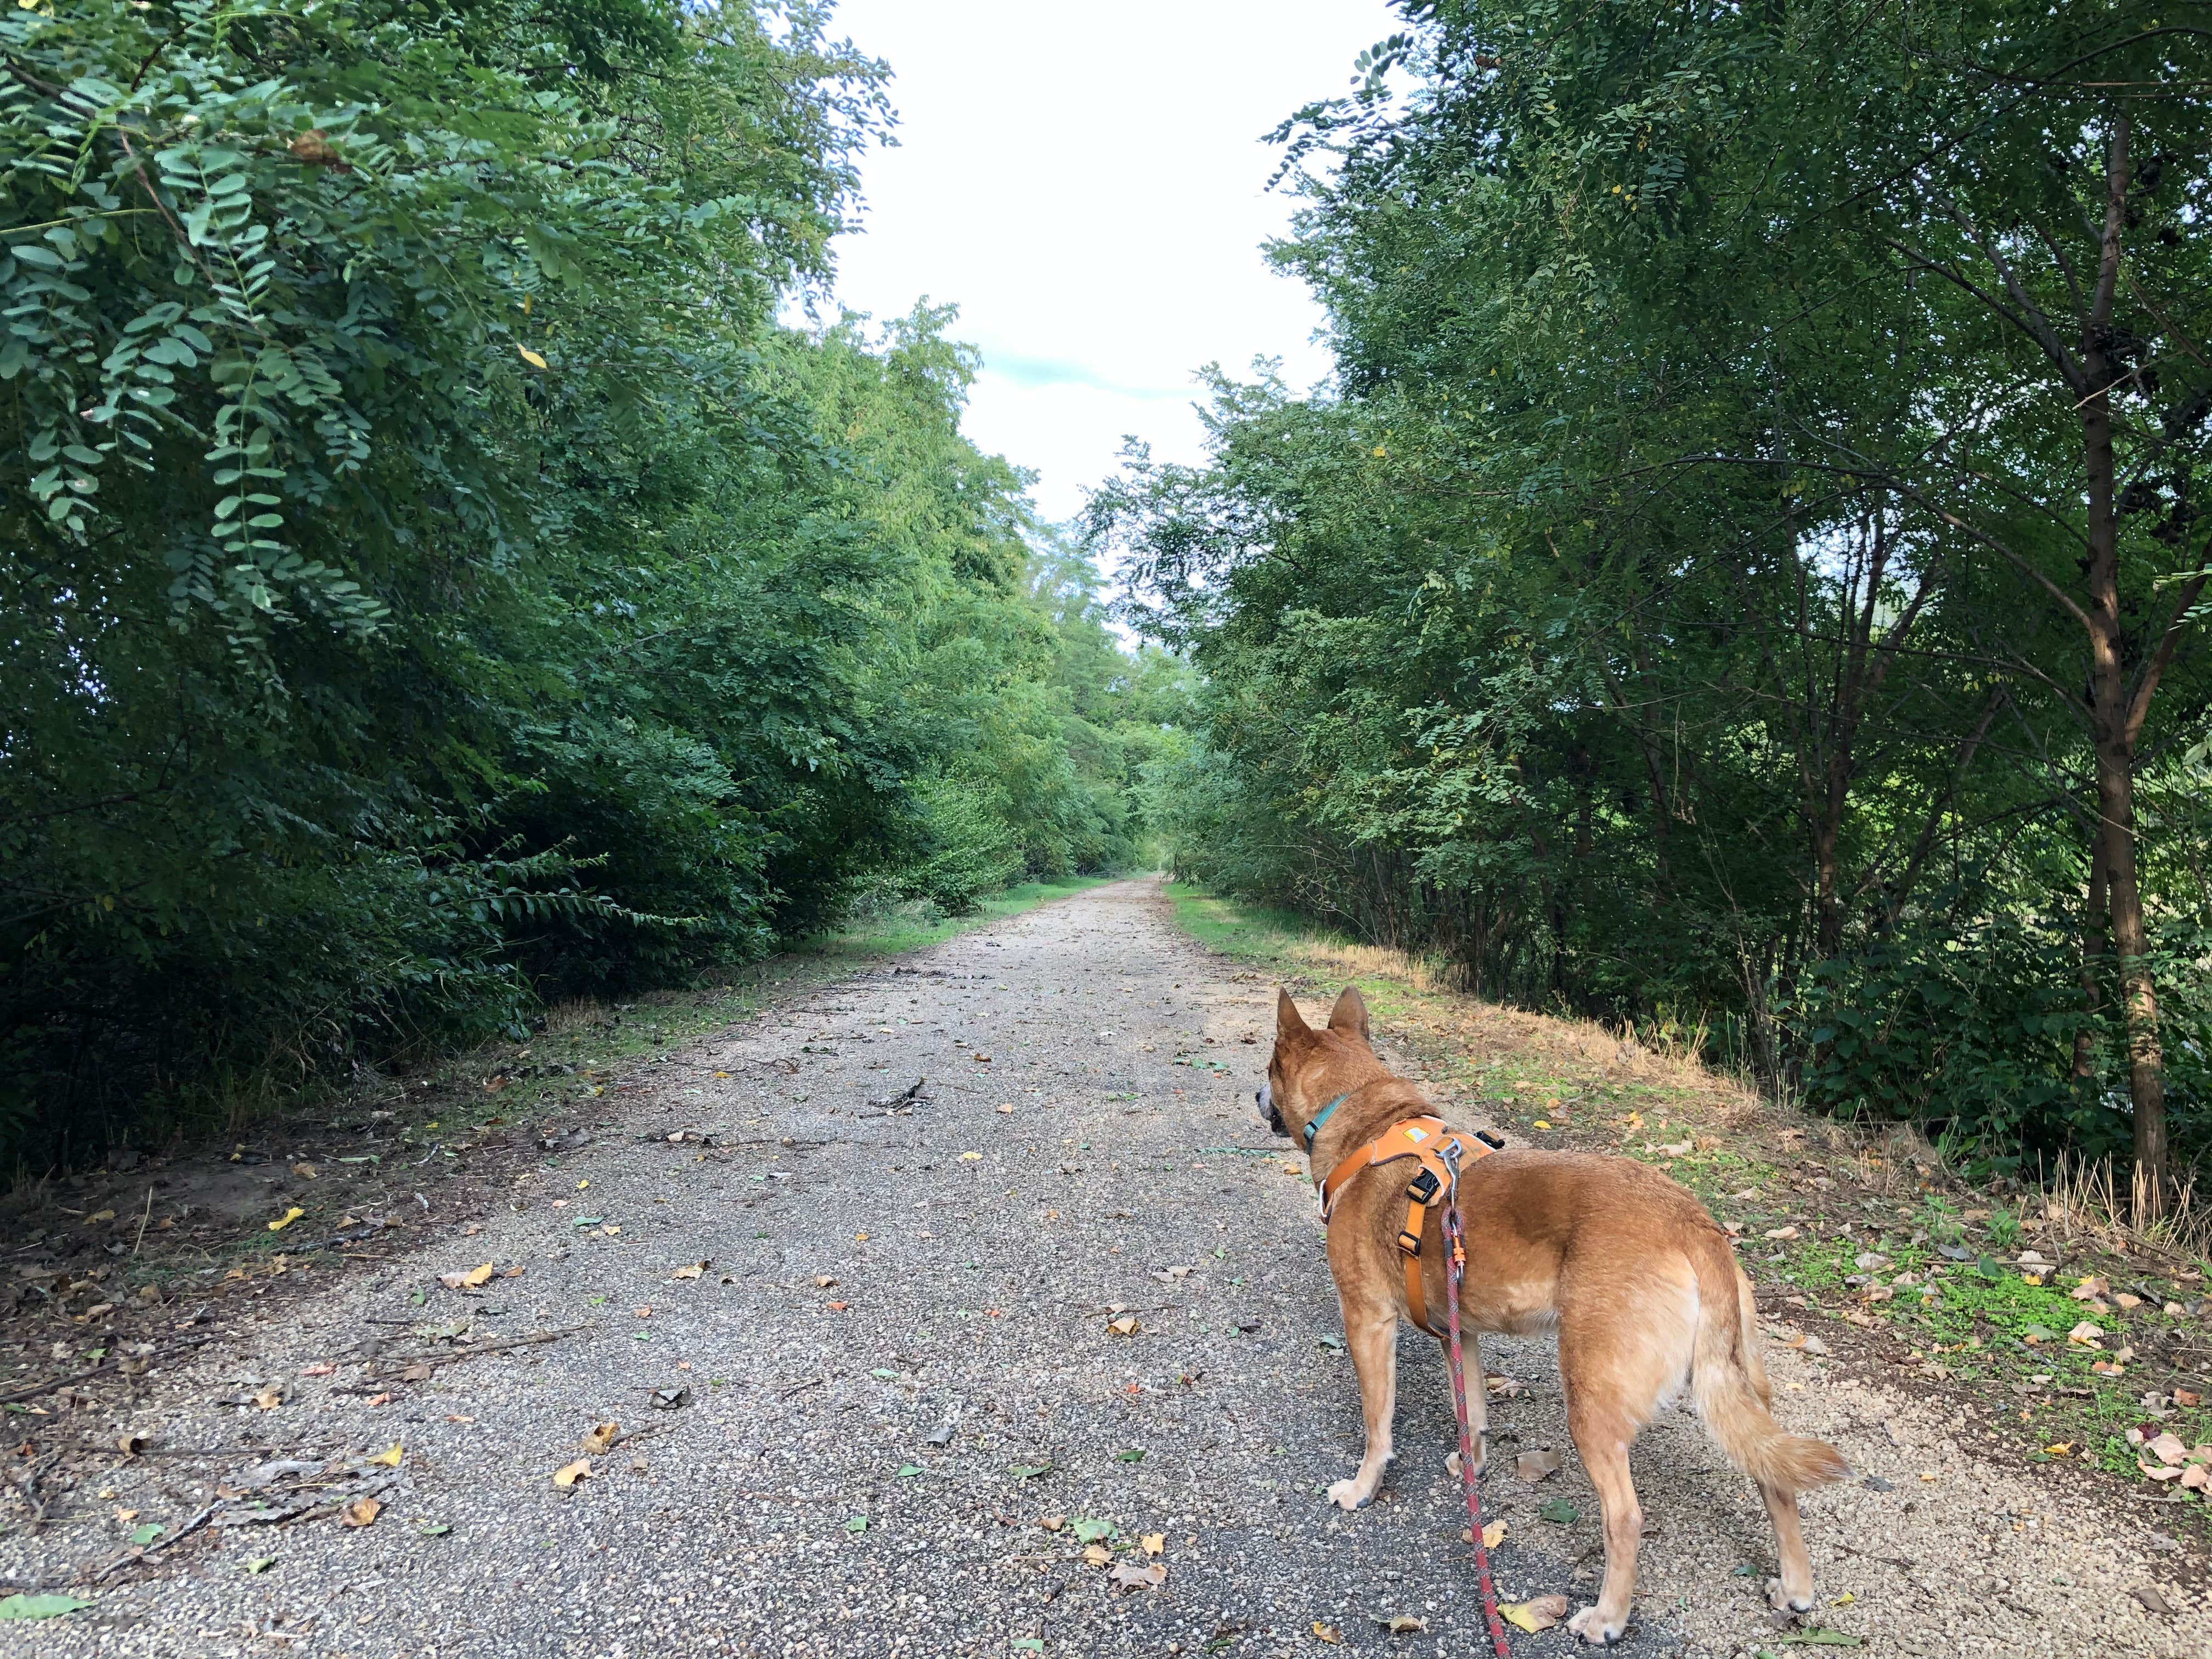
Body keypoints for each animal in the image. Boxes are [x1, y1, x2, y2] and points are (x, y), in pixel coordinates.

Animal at [1265, 986, 1849, 1654]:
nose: (1257, 1099)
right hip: (1738, 1388)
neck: (1365, 1123)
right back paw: (1795, 1586)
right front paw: (1472, 1466)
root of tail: (1691, 1222)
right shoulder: (1462, 1333)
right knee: (1776, 1480)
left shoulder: (1368, 1323)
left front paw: (1363, 1489)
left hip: (1591, 1401)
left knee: (1625, 1516)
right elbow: (1474, 1412)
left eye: (1268, 1071)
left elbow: (1376, 1429)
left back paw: (1608, 1618)